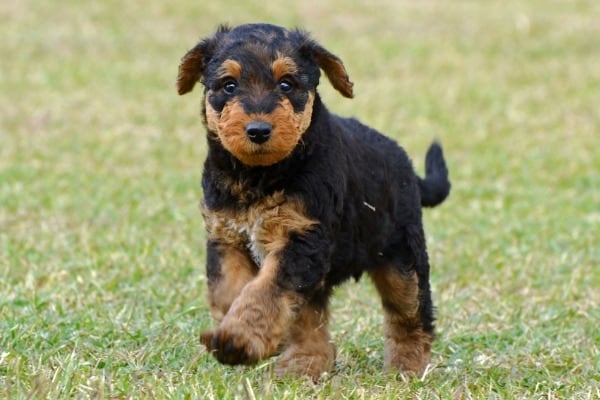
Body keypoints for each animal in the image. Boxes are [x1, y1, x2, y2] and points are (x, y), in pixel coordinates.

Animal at [177, 23, 450, 380]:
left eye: (286, 83)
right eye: (229, 84)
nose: (258, 130)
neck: (258, 176)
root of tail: (405, 165)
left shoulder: (302, 240)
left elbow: (265, 292)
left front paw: (238, 339)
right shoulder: (227, 237)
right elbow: (231, 291)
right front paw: (247, 335)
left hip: (402, 257)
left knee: (411, 315)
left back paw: (406, 368)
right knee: (312, 320)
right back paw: (304, 364)